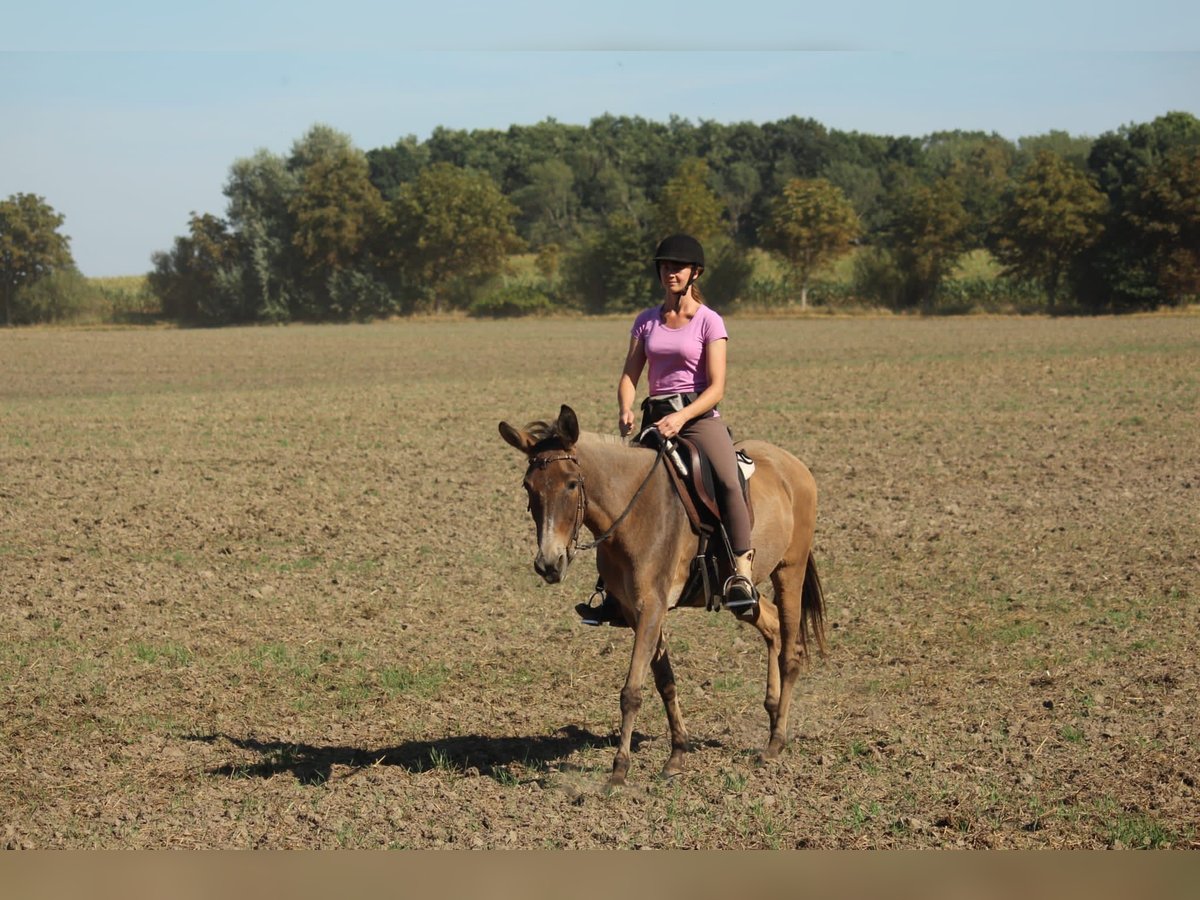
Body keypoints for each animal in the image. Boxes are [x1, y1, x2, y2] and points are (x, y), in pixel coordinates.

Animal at [499, 405, 825, 787]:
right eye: (528, 486)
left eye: (571, 483)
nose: (548, 563)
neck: (633, 511)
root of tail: (793, 465)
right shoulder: (636, 612)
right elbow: (665, 682)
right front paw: (677, 756)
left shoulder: (651, 608)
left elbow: (631, 692)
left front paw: (619, 770)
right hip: (745, 598)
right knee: (770, 625)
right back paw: (772, 714)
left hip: (790, 569)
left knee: (791, 651)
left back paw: (776, 742)